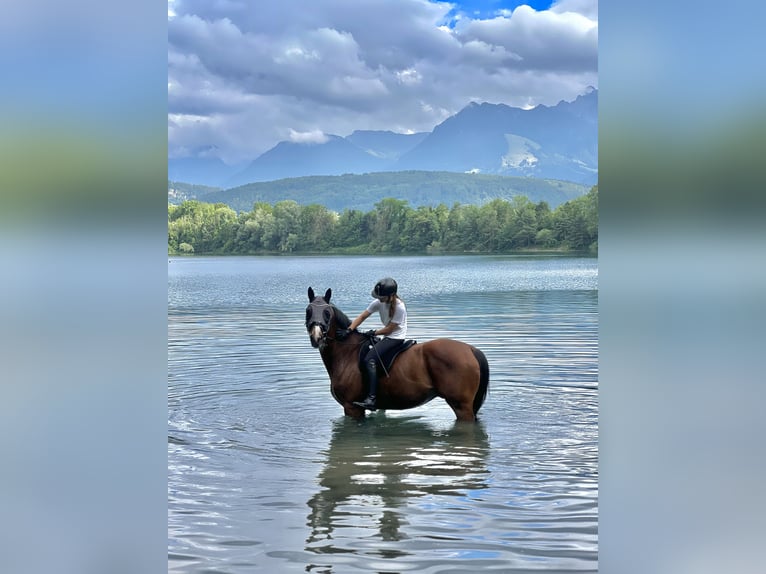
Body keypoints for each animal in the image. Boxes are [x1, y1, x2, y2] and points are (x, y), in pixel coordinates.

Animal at [304, 288, 488, 424]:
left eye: (327, 312)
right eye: (308, 310)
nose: (316, 336)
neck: (347, 353)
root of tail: (470, 349)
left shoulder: (352, 408)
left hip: (462, 406)